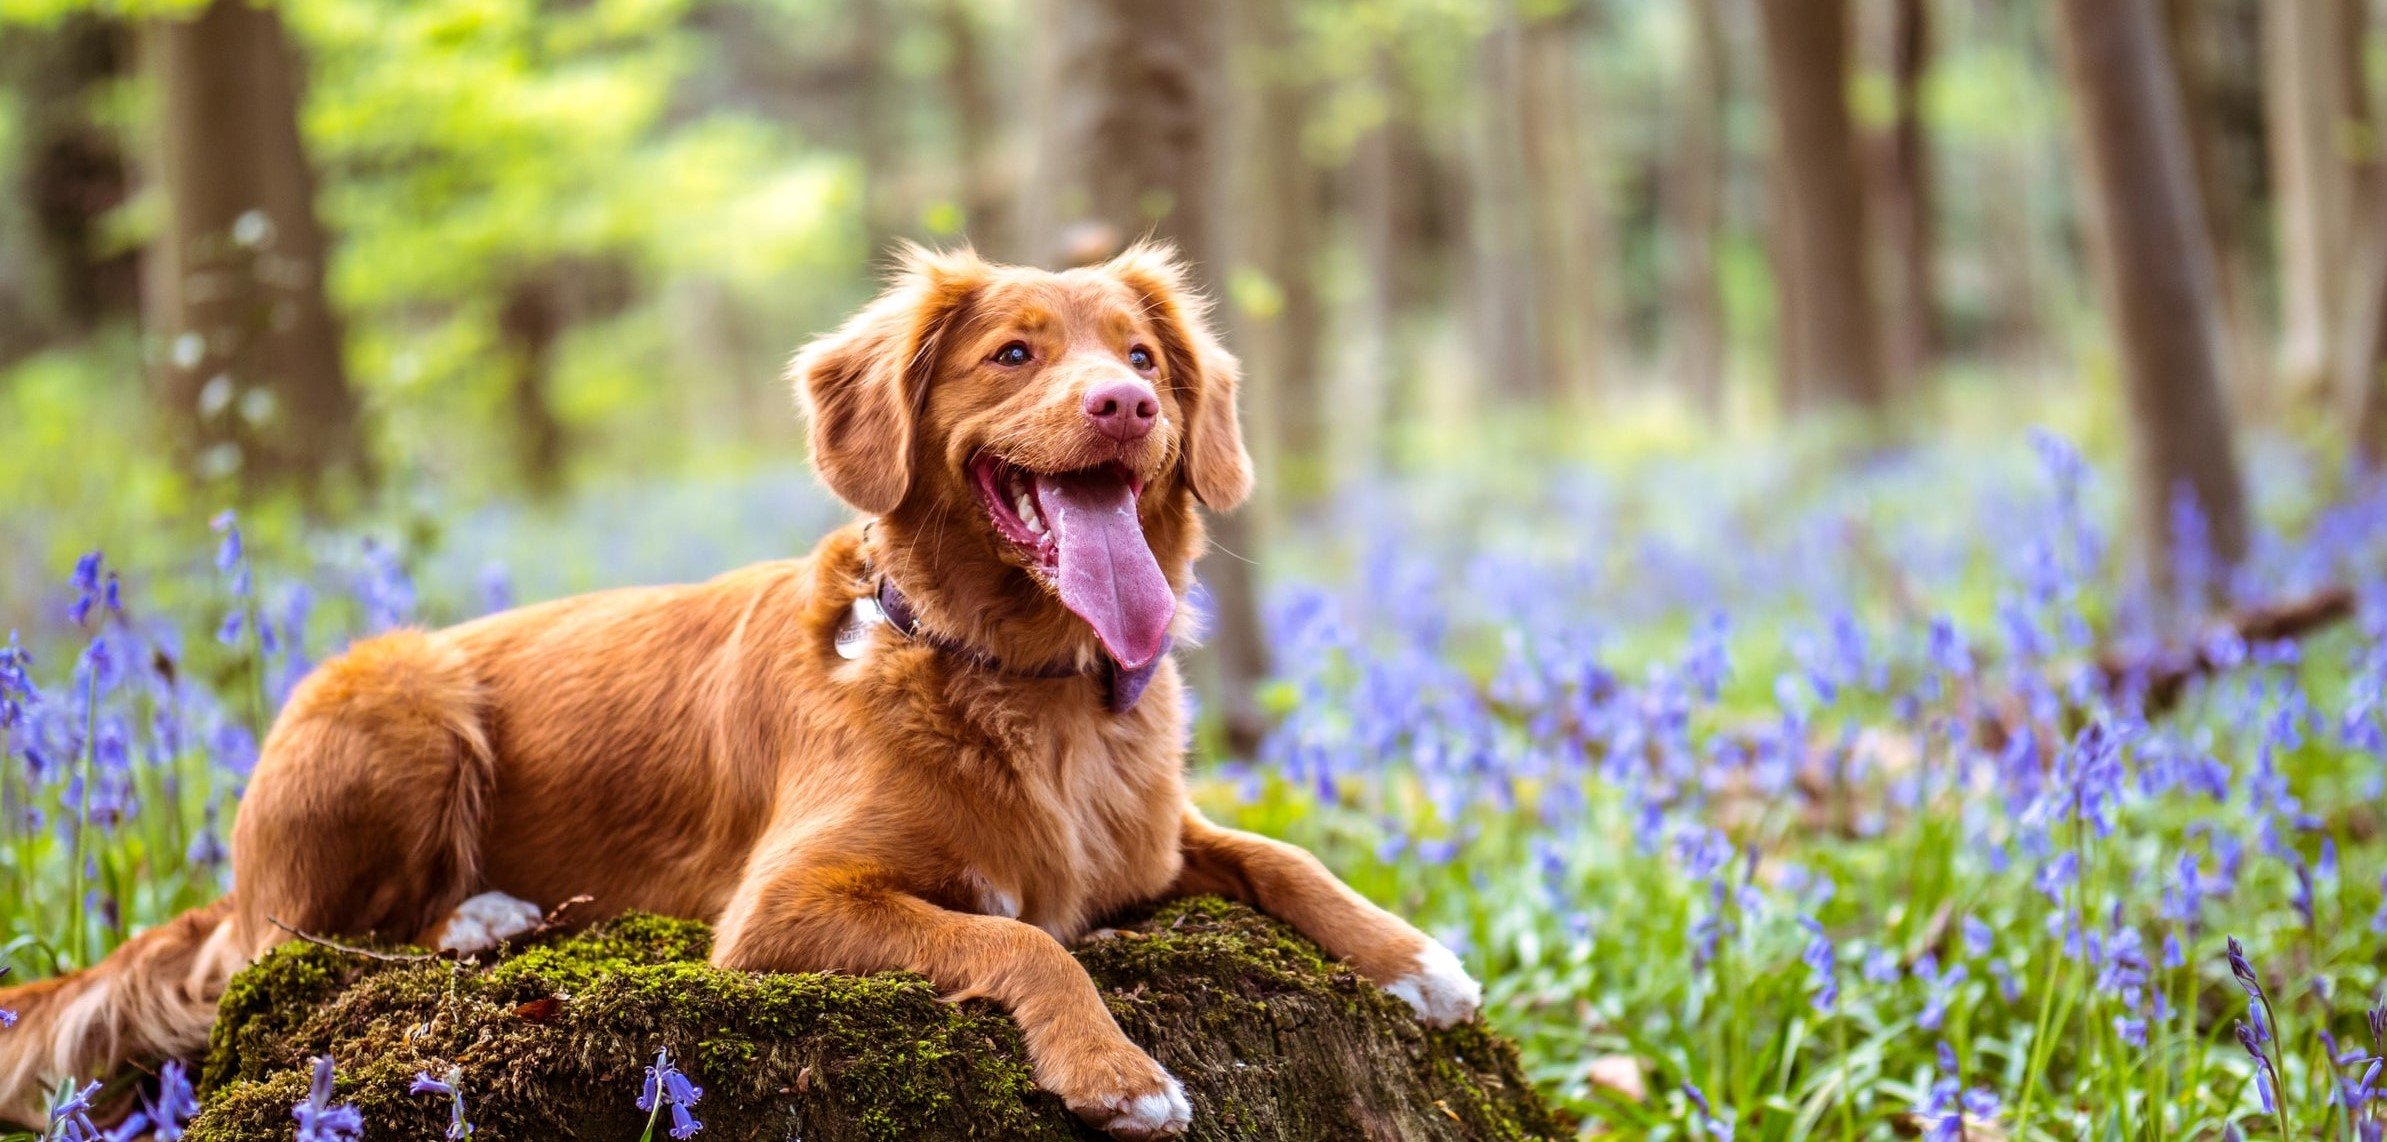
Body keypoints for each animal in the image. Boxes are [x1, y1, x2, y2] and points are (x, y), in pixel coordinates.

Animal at [0, 244, 1479, 1137]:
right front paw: (1117, 1072)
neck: (1020, 681)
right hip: (399, 691)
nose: (1126, 406)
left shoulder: (1150, 840)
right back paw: (479, 914)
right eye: (1012, 353)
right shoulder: (781, 907)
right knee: (295, 940)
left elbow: (1281, 855)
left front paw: (1414, 957)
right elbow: (1026, 940)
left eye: (1142, 356)